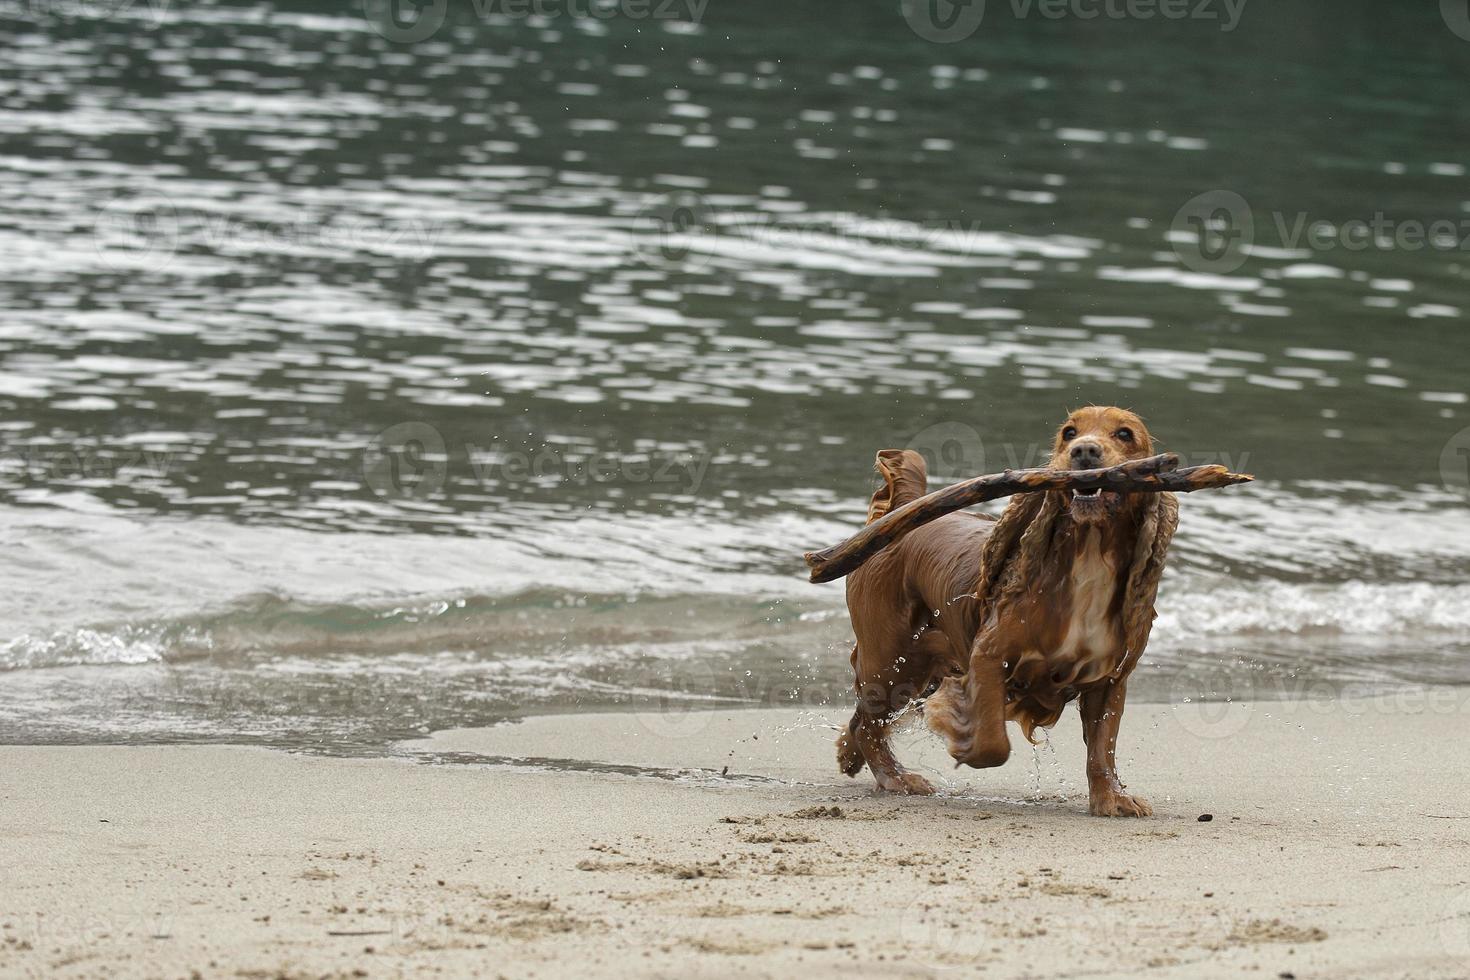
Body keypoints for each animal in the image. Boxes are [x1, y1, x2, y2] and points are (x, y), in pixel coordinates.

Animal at [834, 405, 1176, 822]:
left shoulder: (1110, 678)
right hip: (893, 661)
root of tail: (902, 510)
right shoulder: (989, 654)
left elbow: (1102, 747)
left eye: (1125, 434)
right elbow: (993, 743)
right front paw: (959, 729)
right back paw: (895, 778)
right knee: (868, 721)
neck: (1089, 554)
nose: (1083, 451)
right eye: (1069, 432)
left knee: (862, 719)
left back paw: (852, 758)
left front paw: (1111, 799)